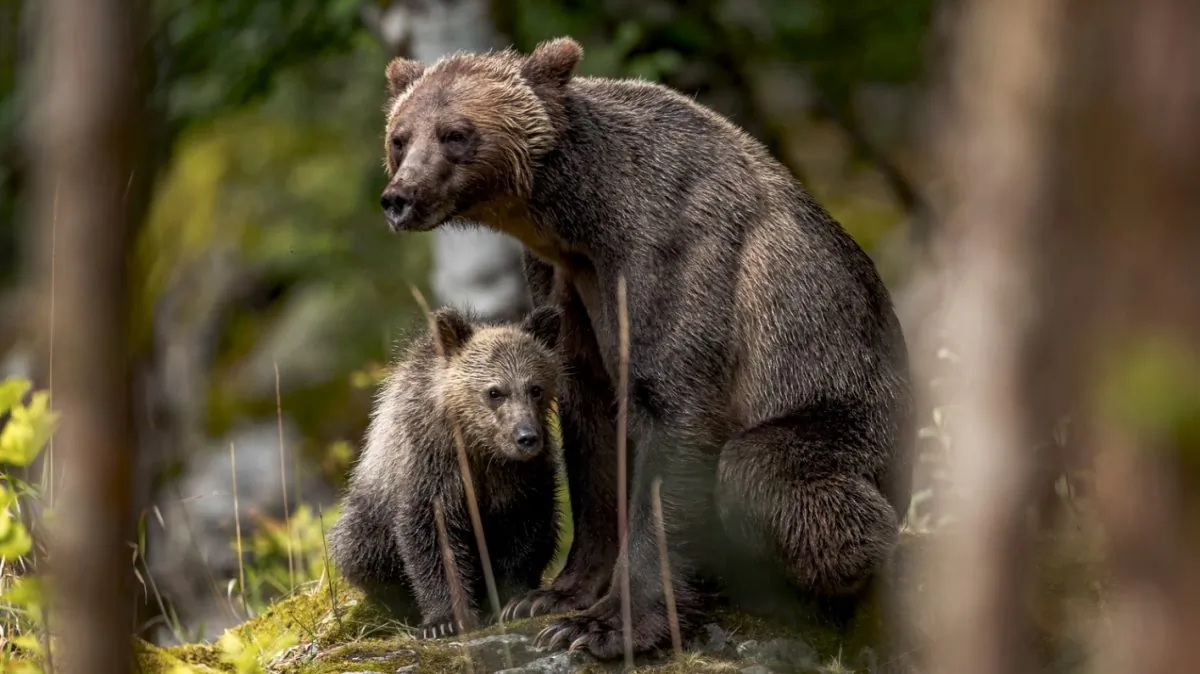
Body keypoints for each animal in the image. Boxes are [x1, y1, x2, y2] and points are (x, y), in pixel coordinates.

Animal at [328, 304, 565, 639]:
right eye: (495, 392)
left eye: (535, 388)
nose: (526, 437)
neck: (480, 449)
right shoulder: (433, 470)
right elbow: (433, 541)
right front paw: (444, 620)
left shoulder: (524, 479)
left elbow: (527, 533)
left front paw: (514, 601)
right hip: (368, 516)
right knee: (360, 552)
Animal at [375, 37, 915, 658]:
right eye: (400, 136)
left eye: (455, 133)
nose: (399, 198)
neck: (582, 222)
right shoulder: (565, 285)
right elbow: (592, 425)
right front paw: (553, 597)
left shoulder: (670, 260)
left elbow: (672, 416)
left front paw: (606, 625)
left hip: (850, 423)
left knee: (764, 473)